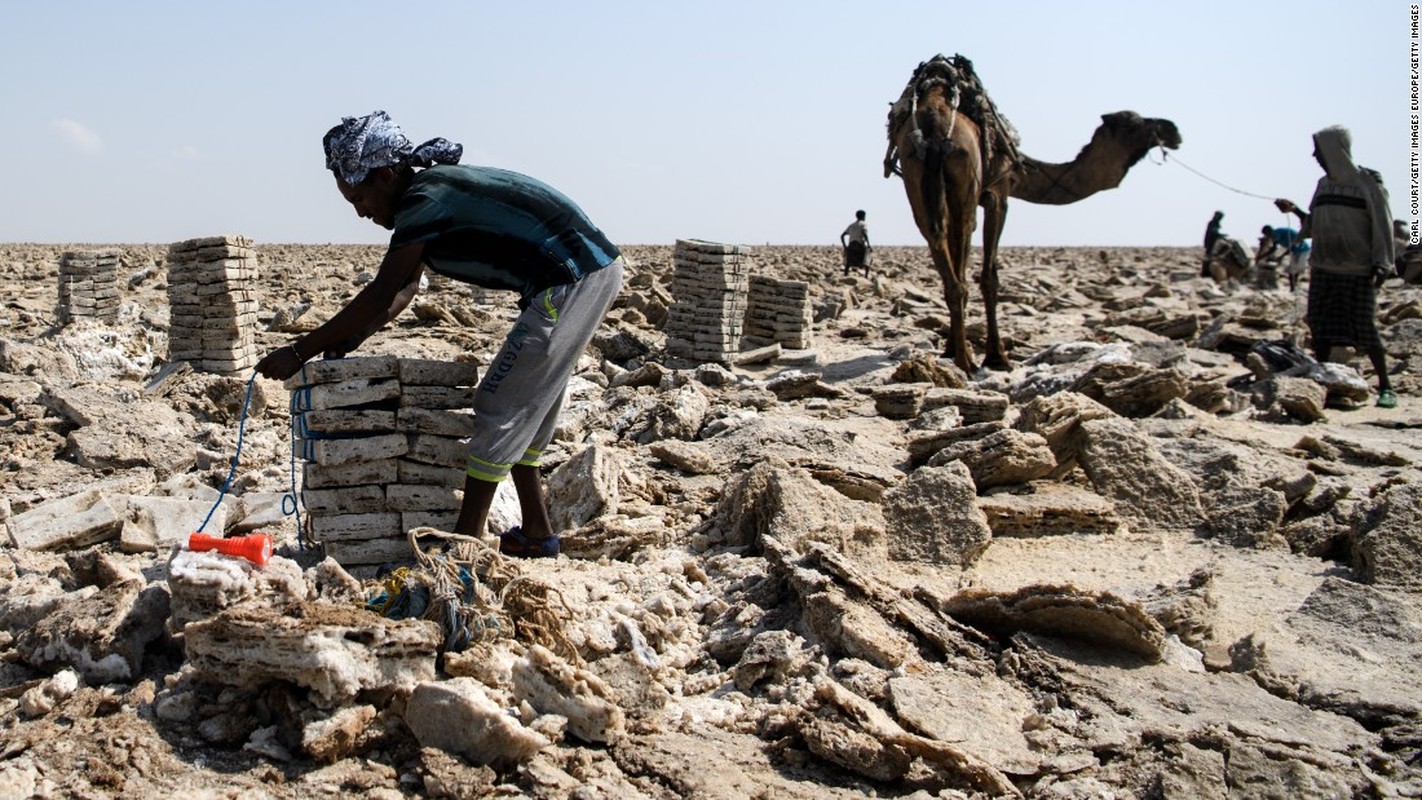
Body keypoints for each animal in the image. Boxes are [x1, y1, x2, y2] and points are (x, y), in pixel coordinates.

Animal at [881, 53, 1183, 372]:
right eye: (1132, 124)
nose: (1172, 130)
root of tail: (934, 126)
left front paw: (951, 347)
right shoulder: (998, 193)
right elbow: (990, 275)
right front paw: (996, 356)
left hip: (917, 181)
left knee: (940, 249)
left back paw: (962, 355)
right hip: (964, 181)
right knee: (961, 273)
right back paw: (967, 362)